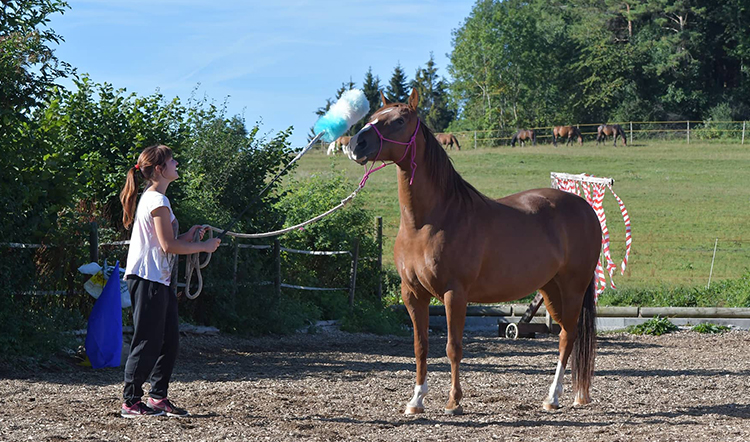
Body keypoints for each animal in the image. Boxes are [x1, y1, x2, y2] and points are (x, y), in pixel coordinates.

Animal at [344, 89, 604, 414]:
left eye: (400, 120)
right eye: (373, 117)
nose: (356, 144)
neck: (429, 222)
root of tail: (586, 208)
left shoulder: (455, 293)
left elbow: (453, 347)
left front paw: (453, 401)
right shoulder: (412, 294)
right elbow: (420, 347)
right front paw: (416, 400)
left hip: (572, 287)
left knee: (568, 336)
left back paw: (552, 397)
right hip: (550, 289)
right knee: (566, 334)